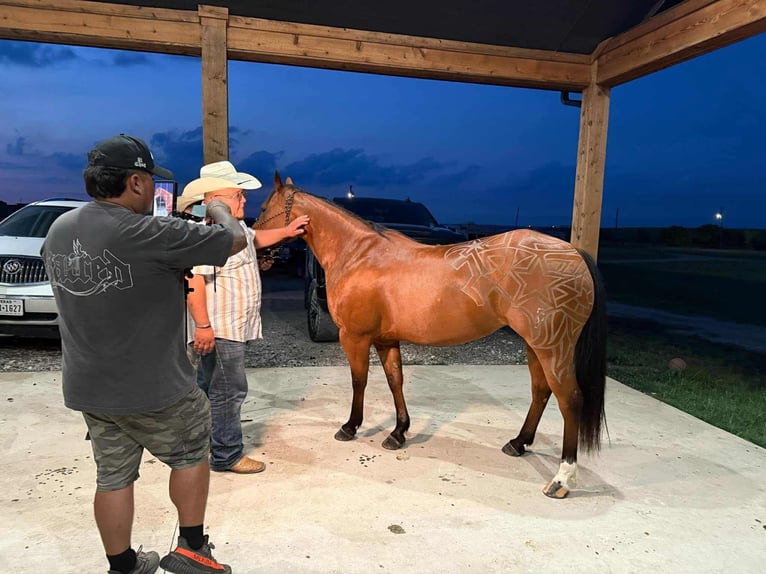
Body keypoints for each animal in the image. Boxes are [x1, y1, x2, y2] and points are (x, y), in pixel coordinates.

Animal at [255, 173, 607, 499]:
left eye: (263, 208)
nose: (258, 249)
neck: (359, 255)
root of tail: (573, 252)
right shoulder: (385, 338)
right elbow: (395, 380)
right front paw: (398, 432)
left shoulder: (355, 336)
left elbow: (359, 381)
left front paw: (350, 426)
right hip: (535, 346)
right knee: (541, 391)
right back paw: (518, 443)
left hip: (553, 347)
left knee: (570, 400)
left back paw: (562, 479)